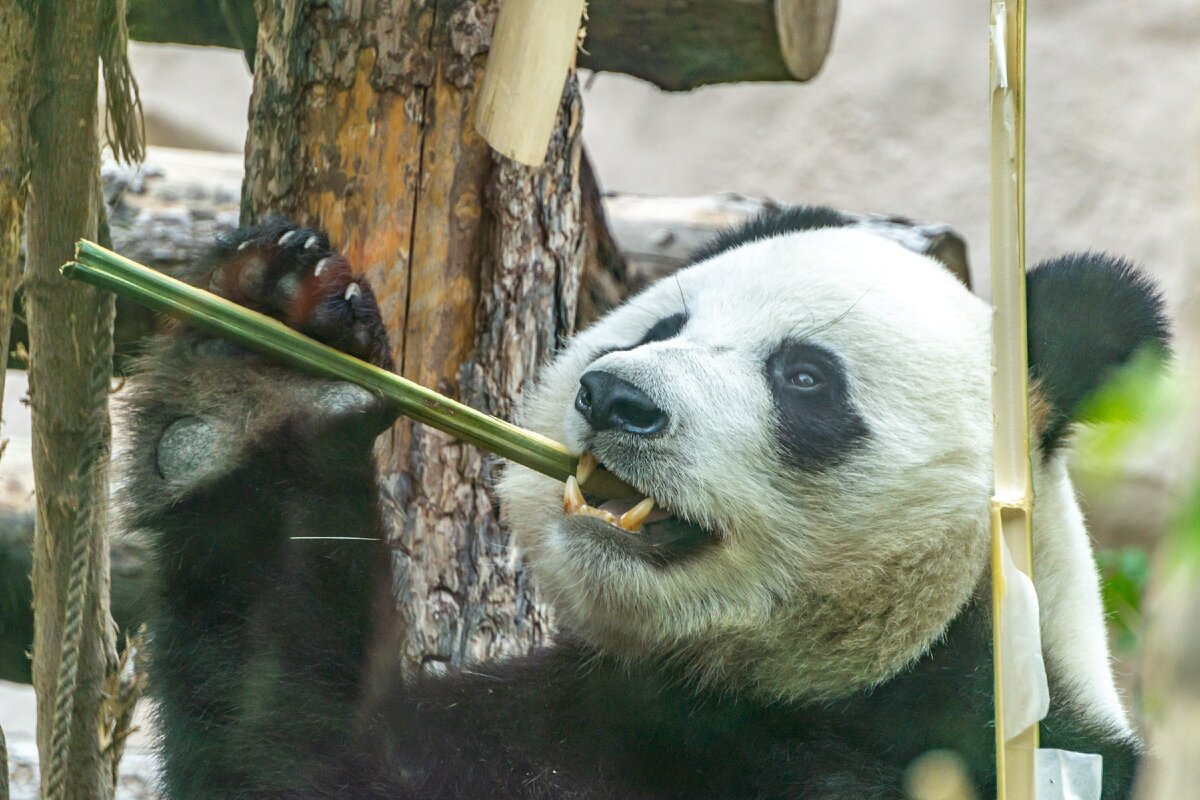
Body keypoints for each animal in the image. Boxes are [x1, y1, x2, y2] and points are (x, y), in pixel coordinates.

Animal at [119, 209, 1161, 796]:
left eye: (805, 377)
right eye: (663, 326)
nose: (616, 397)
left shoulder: (980, 742)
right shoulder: (559, 722)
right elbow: (290, 760)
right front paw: (262, 369)